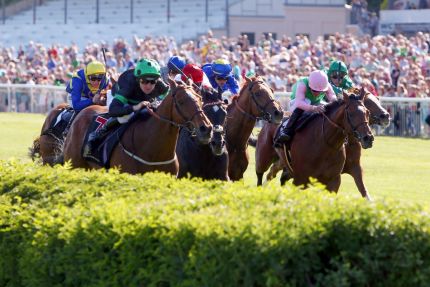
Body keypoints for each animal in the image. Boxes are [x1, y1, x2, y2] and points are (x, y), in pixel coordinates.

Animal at [255, 89, 390, 199]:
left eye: (367, 112)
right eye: (351, 113)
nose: (368, 138)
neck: (326, 143)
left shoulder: (337, 178)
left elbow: (364, 192)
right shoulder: (301, 180)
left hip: (284, 162)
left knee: (275, 173)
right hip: (264, 157)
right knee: (262, 174)